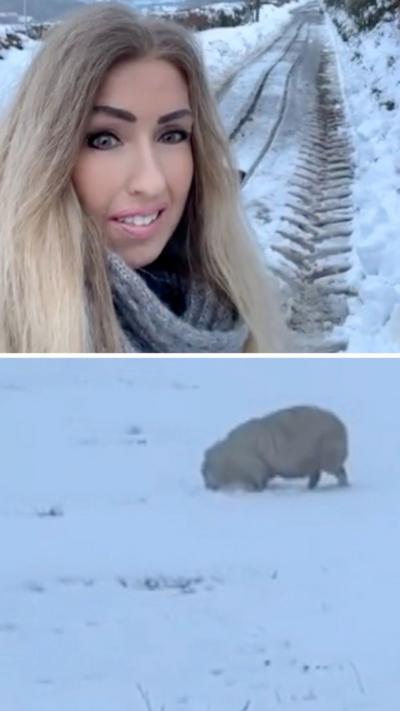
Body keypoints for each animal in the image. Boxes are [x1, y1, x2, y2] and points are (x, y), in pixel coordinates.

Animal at [201, 405, 349, 492]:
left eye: (204, 472)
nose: (208, 486)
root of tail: (342, 426)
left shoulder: (254, 469)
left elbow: (258, 483)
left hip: (329, 456)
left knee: (340, 473)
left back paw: (342, 486)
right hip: (315, 460)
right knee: (316, 475)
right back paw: (309, 488)